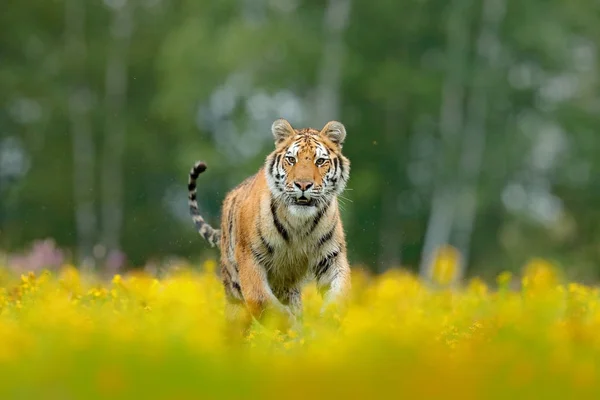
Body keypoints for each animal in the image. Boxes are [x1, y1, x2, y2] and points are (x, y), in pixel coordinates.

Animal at [188, 119, 352, 334]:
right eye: (291, 159)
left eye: (320, 161)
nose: (303, 185)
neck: (299, 223)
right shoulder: (249, 257)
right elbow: (260, 300)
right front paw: (290, 325)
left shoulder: (331, 257)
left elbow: (341, 293)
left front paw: (327, 323)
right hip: (234, 292)